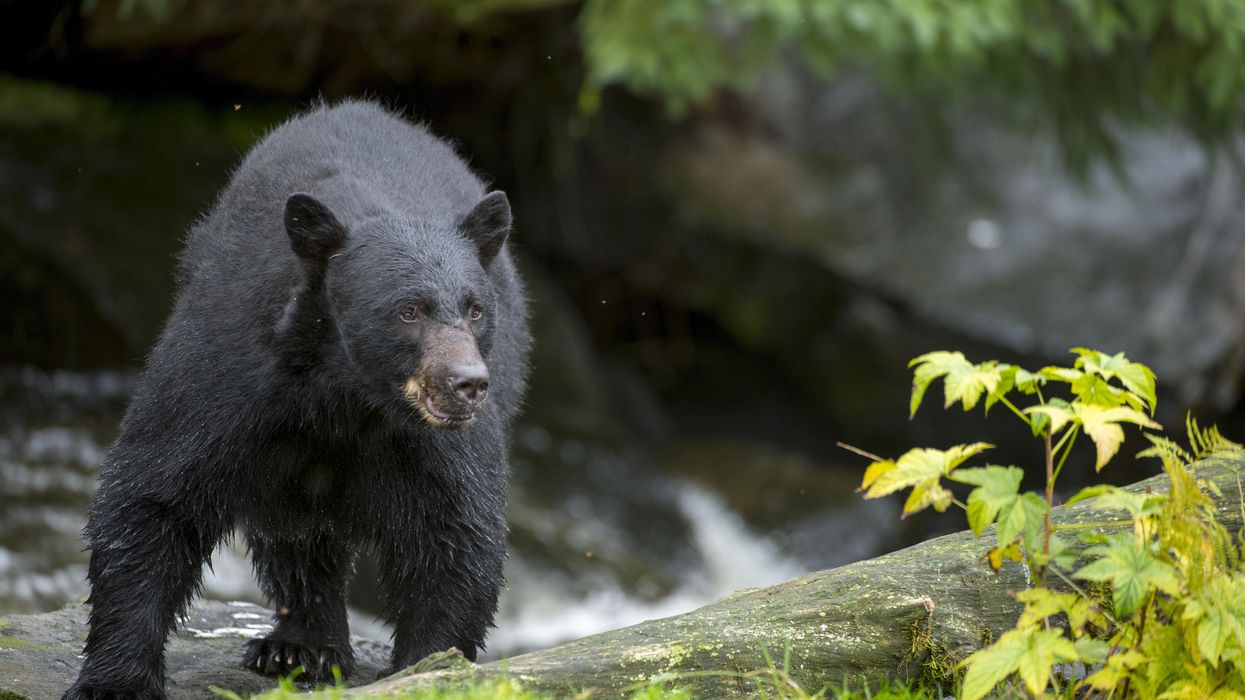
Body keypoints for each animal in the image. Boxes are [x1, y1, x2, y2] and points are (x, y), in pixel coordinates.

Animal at [64, 100, 531, 699]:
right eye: (408, 310)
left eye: (474, 309)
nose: (467, 383)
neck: (346, 395)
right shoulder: (231, 373)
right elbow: (155, 494)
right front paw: (115, 681)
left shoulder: (431, 441)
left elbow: (454, 531)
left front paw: (426, 667)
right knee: (297, 535)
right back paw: (299, 647)